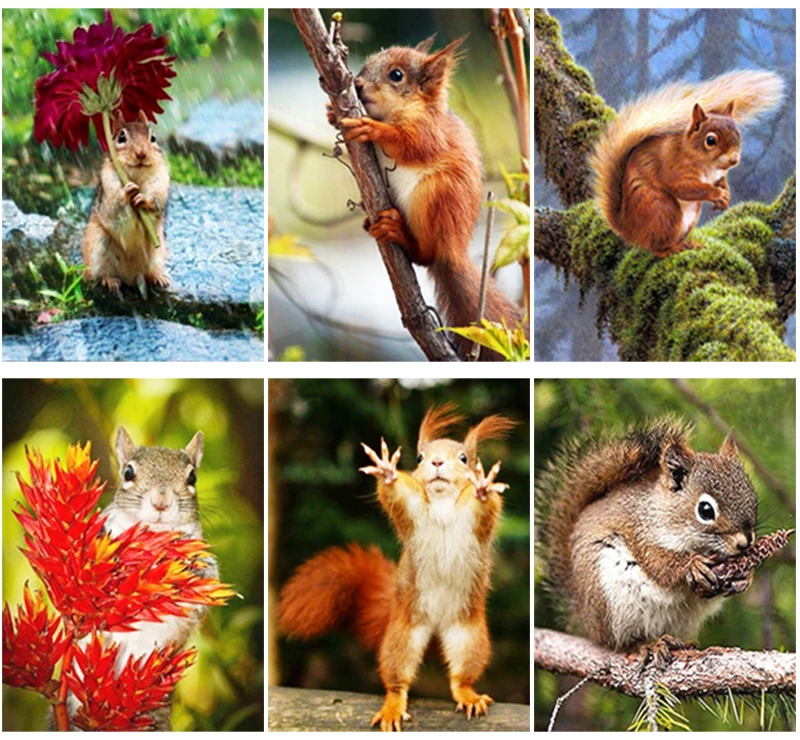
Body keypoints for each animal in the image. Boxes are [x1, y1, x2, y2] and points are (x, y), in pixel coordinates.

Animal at [82, 110, 171, 295]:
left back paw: (158, 277)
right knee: (99, 273)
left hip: (157, 253)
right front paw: (127, 191)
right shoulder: (109, 184)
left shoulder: (160, 181)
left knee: (149, 272)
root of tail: (130, 277)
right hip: (98, 248)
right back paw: (109, 281)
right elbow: (115, 203)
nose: (141, 153)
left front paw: (143, 199)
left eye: (153, 137)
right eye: (121, 137)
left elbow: (156, 200)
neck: (135, 176)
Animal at [277, 403, 517, 731]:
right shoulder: (414, 512)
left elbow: (486, 506)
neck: (442, 503)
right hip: (403, 635)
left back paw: (468, 694)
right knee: (396, 678)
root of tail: (437, 625)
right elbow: (397, 495)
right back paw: (393, 704)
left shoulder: (477, 521)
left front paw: (482, 487)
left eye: (464, 458)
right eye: (419, 458)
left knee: (461, 676)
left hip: (469, 636)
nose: (437, 461)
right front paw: (388, 472)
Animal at [329, 35, 528, 361]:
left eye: (397, 75)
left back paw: (398, 231)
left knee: (424, 255)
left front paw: (372, 128)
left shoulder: (430, 132)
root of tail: (452, 250)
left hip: (435, 197)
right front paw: (332, 112)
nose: (356, 83)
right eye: (366, 64)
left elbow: (411, 143)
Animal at [536, 417, 758, 651]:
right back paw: (648, 644)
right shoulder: (640, 531)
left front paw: (746, 576)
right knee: (620, 642)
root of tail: (584, 618)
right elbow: (658, 562)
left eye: (753, 497)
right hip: (609, 599)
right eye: (705, 510)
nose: (745, 542)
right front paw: (692, 564)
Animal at [589, 70, 784, 257]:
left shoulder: (718, 176)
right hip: (662, 210)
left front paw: (726, 196)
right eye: (710, 140)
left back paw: (688, 243)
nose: (734, 159)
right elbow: (684, 187)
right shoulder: (674, 167)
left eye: (738, 134)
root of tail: (629, 229)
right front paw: (717, 194)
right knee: (656, 248)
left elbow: (721, 182)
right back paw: (673, 249)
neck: (707, 164)